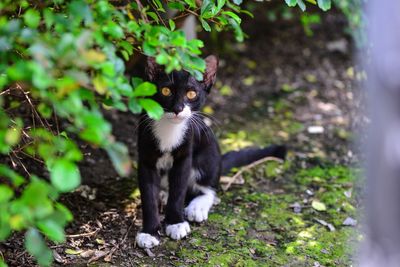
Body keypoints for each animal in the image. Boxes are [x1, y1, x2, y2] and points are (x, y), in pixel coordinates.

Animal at [136, 55, 286, 250]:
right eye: (166, 90)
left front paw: (176, 223)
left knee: (208, 188)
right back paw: (163, 194)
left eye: (191, 94)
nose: (177, 109)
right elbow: (148, 196)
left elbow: (179, 189)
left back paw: (196, 207)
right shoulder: (145, 157)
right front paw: (148, 232)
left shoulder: (186, 152)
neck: (169, 130)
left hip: (209, 153)